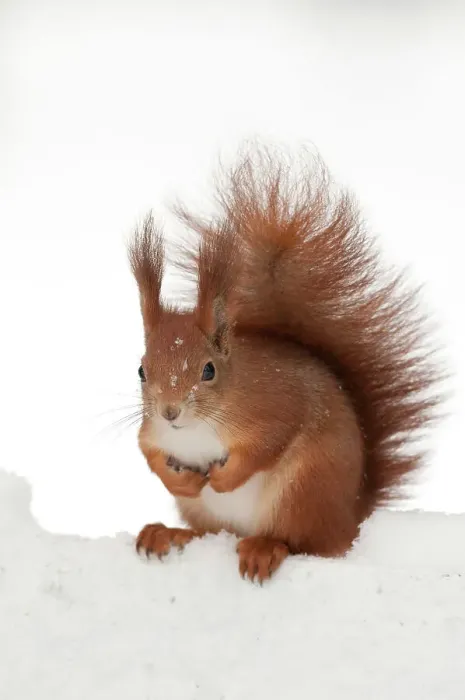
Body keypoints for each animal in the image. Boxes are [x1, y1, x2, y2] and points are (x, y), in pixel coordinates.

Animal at [128, 146, 442, 582]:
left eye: (208, 370)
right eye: (141, 370)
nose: (170, 411)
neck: (195, 428)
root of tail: (351, 518)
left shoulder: (273, 407)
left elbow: (268, 443)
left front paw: (223, 478)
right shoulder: (152, 431)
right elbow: (147, 452)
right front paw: (181, 481)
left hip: (303, 489)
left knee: (304, 544)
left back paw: (265, 548)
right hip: (216, 515)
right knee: (212, 535)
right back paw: (169, 534)